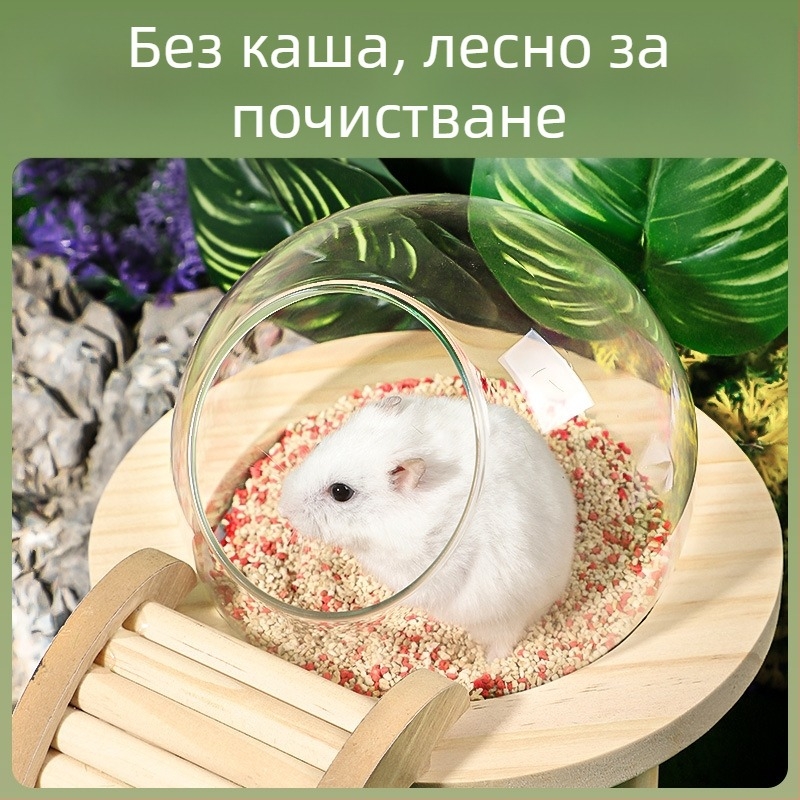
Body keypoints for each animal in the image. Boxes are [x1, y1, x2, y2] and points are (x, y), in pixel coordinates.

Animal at [277, 394, 577, 661]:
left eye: (340, 492)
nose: (284, 508)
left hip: (501, 612)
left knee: (505, 639)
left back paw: (491, 662)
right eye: (318, 445)